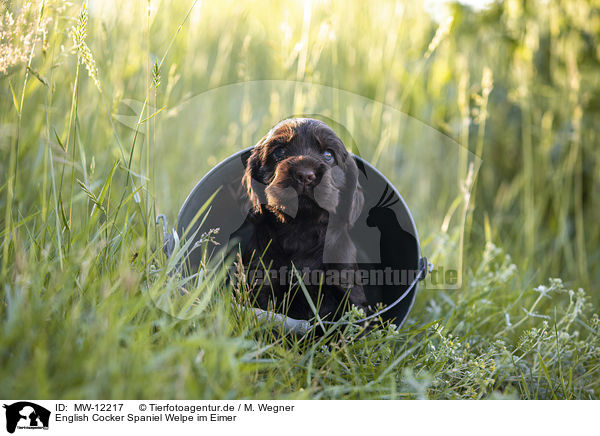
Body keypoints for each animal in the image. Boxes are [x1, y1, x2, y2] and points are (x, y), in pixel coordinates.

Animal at [233, 119, 366, 320]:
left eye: (328, 155)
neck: (300, 228)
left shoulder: (346, 285)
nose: (305, 175)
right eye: (279, 151)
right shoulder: (261, 280)